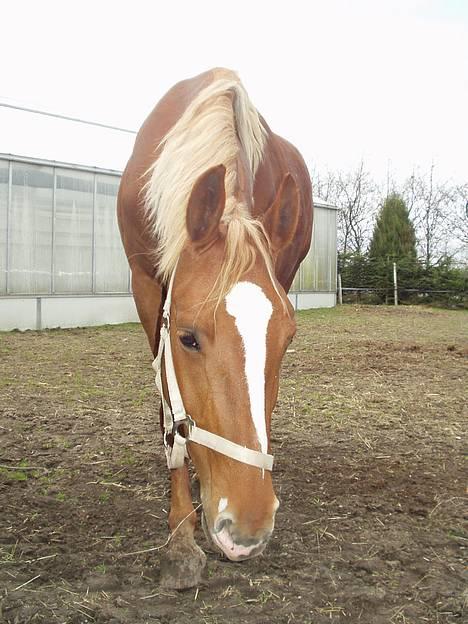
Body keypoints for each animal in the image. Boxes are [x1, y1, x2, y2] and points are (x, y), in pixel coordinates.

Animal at [118, 69, 310, 588]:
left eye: (288, 339)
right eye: (187, 338)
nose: (247, 525)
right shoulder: (146, 286)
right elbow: (171, 416)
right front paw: (181, 539)